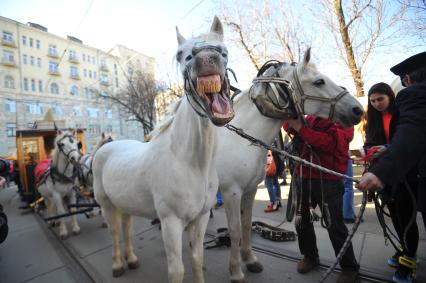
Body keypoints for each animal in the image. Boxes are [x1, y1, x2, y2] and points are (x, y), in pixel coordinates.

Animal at [91, 16, 235, 282]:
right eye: (180, 54)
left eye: (223, 48)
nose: (207, 59)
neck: (191, 163)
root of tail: (106, 147)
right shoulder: (171, 223)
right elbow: (176, 271)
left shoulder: (200, 219)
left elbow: (197, 260)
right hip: (106, 205)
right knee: (114, 232)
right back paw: (118, 264)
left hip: (124, 203)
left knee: (126, 227)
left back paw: (132, 259)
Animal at [215, 50, 364, 282]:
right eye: (319, 81)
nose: (358, 110)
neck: (240, 139)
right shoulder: (231, 192)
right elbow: (235, 230)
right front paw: (236, 271)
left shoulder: (248, 190)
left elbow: (247, 225)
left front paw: (250, 260)